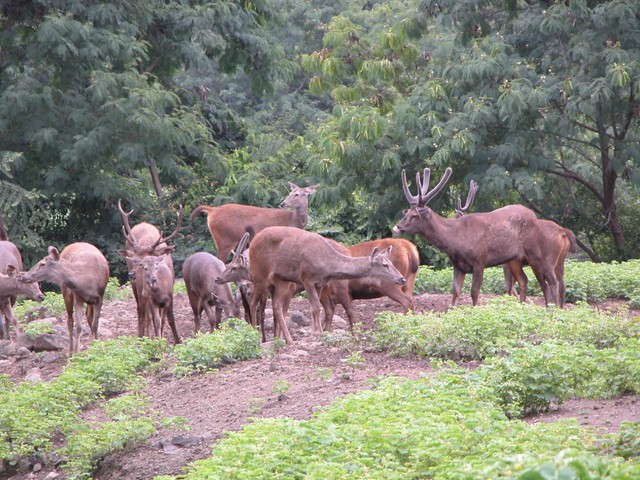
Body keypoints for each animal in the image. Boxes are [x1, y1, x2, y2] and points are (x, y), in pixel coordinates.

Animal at [117, 200, 182, 337]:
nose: (131, 274)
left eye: (144, 261)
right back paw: (142, 336)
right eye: (134, 259)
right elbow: (149, 317)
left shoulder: (170, 290)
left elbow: (169, 317)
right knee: (141, 312)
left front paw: (176, 339)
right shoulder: (145, 292)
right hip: (137, 289)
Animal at [190, 182, 319, 263]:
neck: (293, 221)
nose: (283, 203)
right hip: (226, 238)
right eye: (290, 193)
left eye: (297, 194)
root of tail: (212, 210)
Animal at [247, 226, 406, 344]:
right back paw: (255, 334)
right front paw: (318, 332)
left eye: (391, 263)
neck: (326, 265)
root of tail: (252, 242)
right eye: (385, 265)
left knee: (276, 306)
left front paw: (316, 331)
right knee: (253, 302)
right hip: (260, 274)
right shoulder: (307, 278)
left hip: (281, 280)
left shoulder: (319, 283)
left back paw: (288, 340)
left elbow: (315, 308)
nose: (402, 279)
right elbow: (316, 308)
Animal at [393, 167, 554, 307]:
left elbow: (474, 292)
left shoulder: (479, 261)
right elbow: (455, 292)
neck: (456, 241)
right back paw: (521, 306)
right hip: (514, 260)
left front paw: (474, 310)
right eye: (407, 213)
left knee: (544, 283)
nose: (397, 227)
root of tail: (533, 215)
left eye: (415, 216)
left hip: (534, 252)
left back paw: (549, 308)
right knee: (523, 280)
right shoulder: (458, 266)